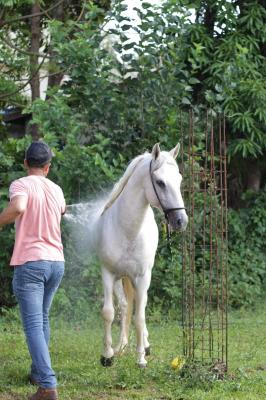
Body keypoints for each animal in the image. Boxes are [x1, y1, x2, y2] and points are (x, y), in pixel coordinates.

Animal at [88, 144, 188, 368]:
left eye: (179, 179)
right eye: (160, 182)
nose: (181, 221)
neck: (128, 231)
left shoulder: (142, 277)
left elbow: (140, 317)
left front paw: (141, 357)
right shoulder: (107, 274)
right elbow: (109, 313)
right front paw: (107, 355)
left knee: (139, 308)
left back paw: (145, 344)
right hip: (121, 278)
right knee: (124, 307)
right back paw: (121, 345)